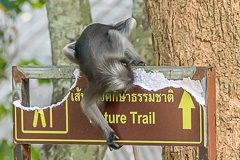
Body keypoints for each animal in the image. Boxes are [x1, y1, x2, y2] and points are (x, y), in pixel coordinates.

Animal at [63, 17, 144, 150]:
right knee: (66, 50)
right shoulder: (99, 84)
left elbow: (115, 35)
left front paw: (138, 61)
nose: (117, 96)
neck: (108, 69)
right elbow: (87, 105)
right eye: (121, 91)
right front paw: (109, 134)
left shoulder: (116, 55)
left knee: (127, 23)